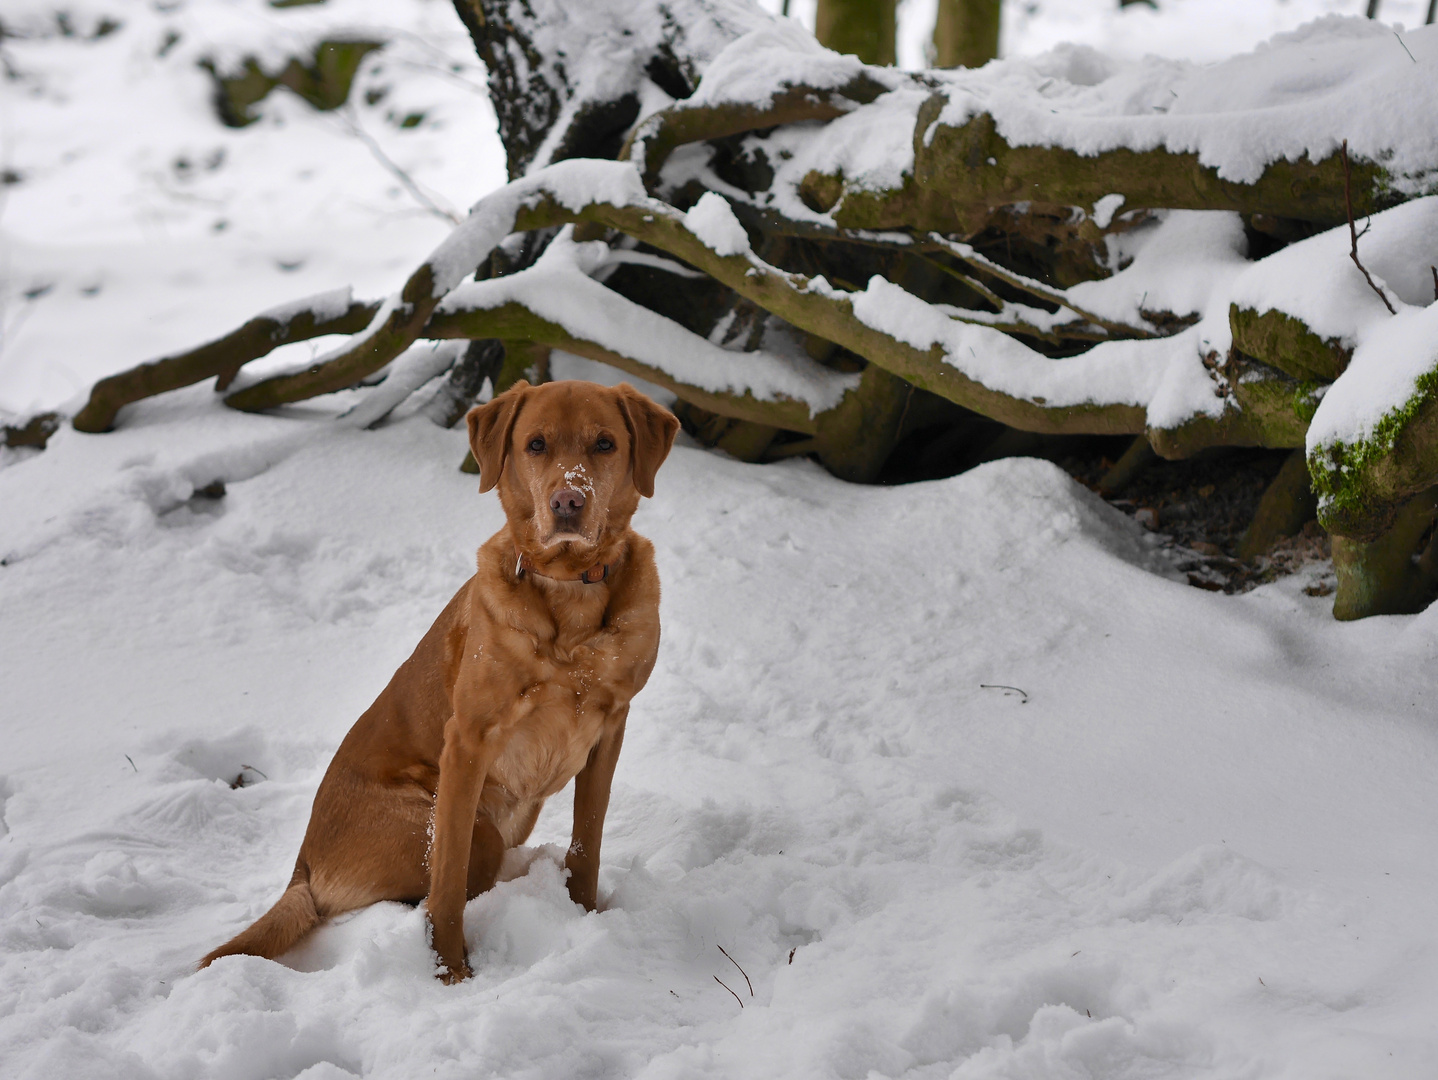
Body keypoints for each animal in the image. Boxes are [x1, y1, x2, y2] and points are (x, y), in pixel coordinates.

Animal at [198, 379, 684, 977]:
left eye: (605, 443)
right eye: (537, 444)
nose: (568, 502)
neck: (570, 598)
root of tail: (303, 865)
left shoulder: (610, 728)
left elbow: (586, 846)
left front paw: (585, 915)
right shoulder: (468, 743)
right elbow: (447, 884)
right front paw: (451, 974)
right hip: (466, 830)